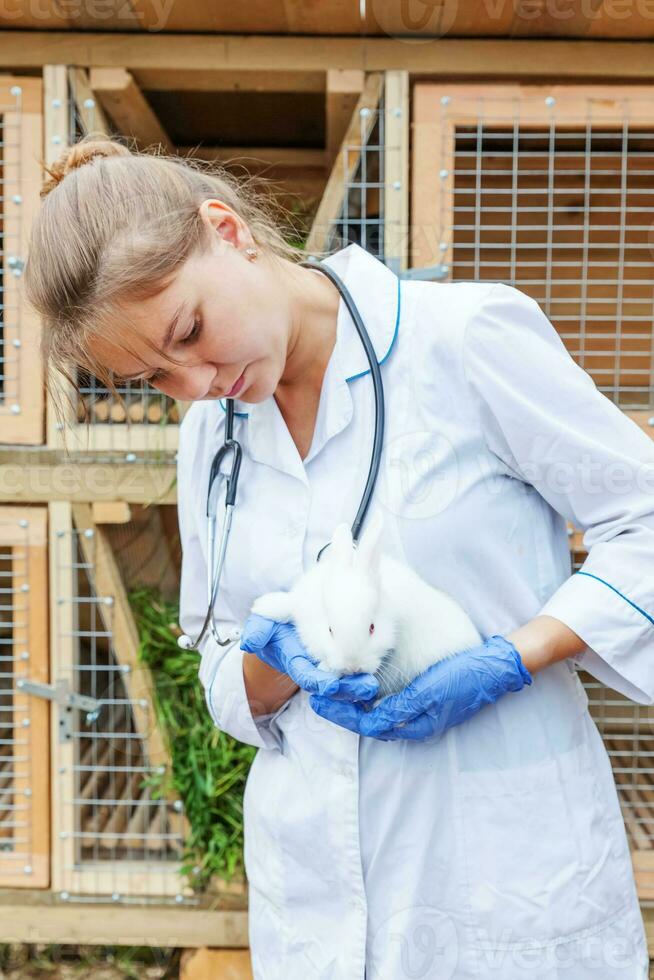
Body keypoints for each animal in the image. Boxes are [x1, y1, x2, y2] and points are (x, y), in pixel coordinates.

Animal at [250, 512, 482, 696]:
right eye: (330, 630)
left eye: (372, 628)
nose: (353, 668)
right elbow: (289, 604)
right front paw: (262, 606)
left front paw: (326, 669)